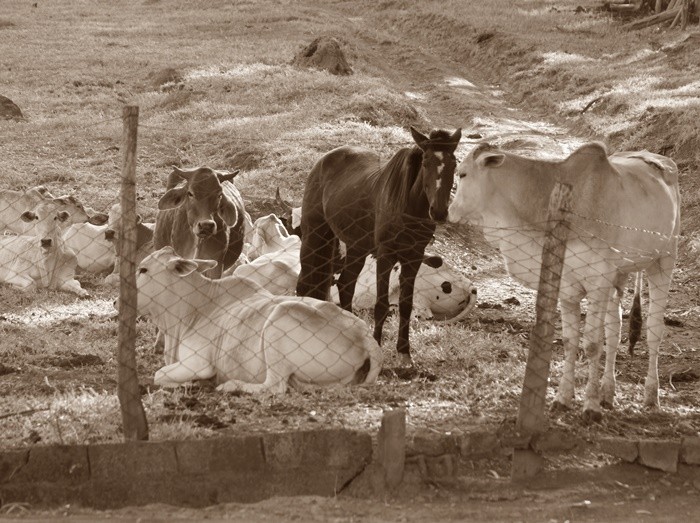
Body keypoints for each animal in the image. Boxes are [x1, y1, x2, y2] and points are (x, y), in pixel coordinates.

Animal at [134, 248, 380, 396]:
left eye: (143, 269)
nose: (123, 298)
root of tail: (365, 335)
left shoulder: (198, 363)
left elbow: (159, 374)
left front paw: (192, 383)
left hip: (279, 320)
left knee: (275, 386)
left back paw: (230, 385)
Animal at [296, 127, 464, 366]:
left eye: (454, 163)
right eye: (425, 162)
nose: (439, 212)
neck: (406, 208)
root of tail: (323, 160)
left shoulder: (413, 257)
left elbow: (405, 305)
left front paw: (404, 352)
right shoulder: (385, 256)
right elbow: (381, 305)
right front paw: (377, 346)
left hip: (356, 248)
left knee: (346, 286)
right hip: (315, 234)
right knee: (305, 283)